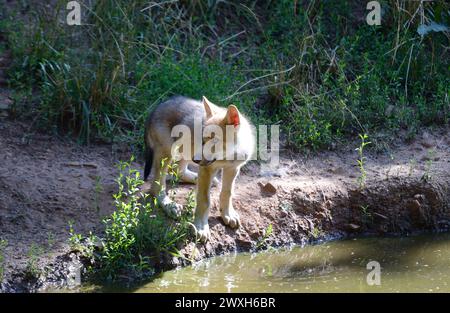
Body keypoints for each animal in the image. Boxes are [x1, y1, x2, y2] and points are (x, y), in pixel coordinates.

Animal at [145, 95, 255, 241]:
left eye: (215, 140)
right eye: (203, 140)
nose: (196, 160)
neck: (228, 157)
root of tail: (156, 107)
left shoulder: (233, 169)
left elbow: (227, 193)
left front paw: (227, 214)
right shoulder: (207, 170)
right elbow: (204, 201)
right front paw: (201, 227)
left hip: (185, 151)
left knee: (178, 171)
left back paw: (197, 179)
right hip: (167, 154)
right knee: (156, 187)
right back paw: (169, 205)